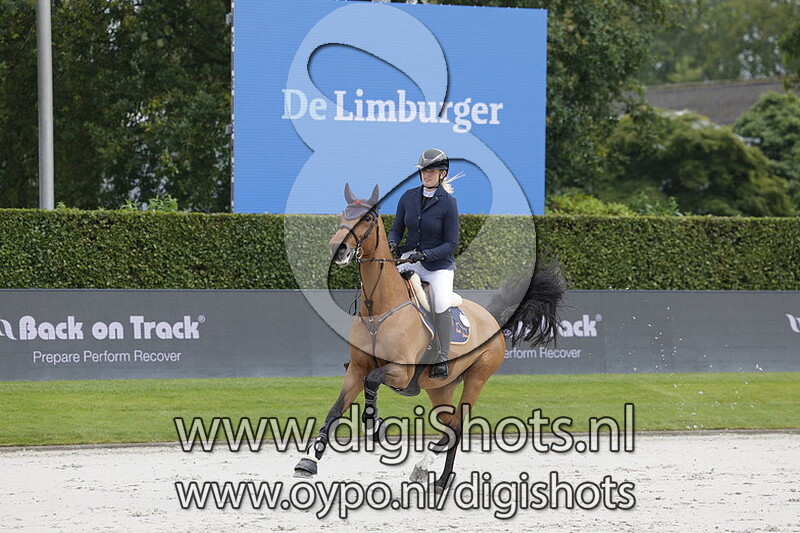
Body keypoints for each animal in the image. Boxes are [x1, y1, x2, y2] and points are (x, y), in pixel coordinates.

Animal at [293, 184, 564, 492]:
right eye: (343, 214)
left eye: (368, 219)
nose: (338, 249)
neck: (379, 308)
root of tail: (493, 318)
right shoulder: (357, 369)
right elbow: (335, 409)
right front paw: (307, 462)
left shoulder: (400, 371)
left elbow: (372, 382)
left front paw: (375, 426)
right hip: (440, 388)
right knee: (450, 424)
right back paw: (430, 472)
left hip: (477, 377)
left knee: (457, 426)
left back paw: (435, 475)